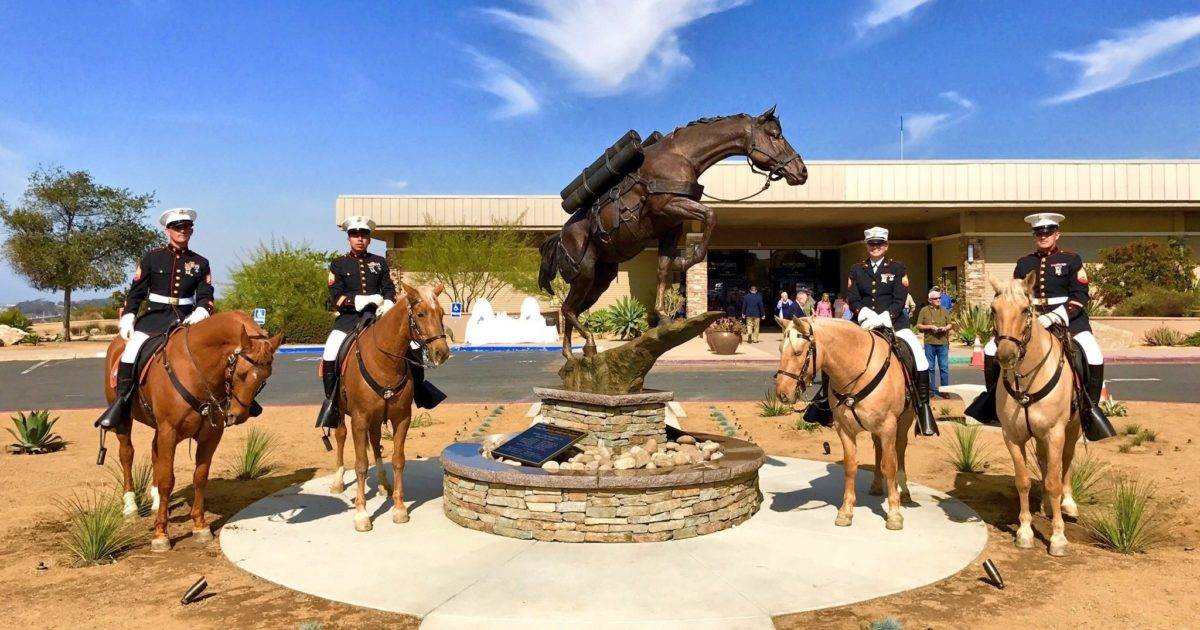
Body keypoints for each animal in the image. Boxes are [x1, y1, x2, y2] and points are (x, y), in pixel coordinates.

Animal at [104, 309, 284, 549]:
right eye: (241, 373)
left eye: (265, 377)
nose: (237, 415)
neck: (195, 368)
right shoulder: (169, 431)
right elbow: (167, 480)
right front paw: (161, 533)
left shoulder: (210, 434)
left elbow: (200, 476)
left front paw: (199, 525)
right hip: (125, 422)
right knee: (127, 454)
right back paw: (130, 505)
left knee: (154, 453)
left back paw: (156, 500)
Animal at [328, 280, 451, 530]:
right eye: (421, 314)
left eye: (442, 313)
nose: (441, 352)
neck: (384, 361)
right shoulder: (359, 419)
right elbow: (361, 464)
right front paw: (362, 514)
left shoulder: (401, 418)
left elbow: (398, 460)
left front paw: (399, 508)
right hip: (341, 412)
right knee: (341, 436)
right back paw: (338, 480)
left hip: (376, 418)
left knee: (375, 442)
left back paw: (383, 484)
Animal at [542, 105, 806, 355]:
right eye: (775, 135)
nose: (802, 171)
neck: (680, 156)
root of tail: (560, 238)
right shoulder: (670, 207)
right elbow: (711, 216)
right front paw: (684, 261)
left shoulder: (672, 226)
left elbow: (663, 269)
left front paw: (663, 313)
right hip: (585, 273)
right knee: (567, 309)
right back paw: (588, 343)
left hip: (600, 279)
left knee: (572, 309)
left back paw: (572, 354)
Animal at [772, 316, 912, 528]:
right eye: (780, 349)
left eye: (798, 352)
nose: (783, 393)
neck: (858, 372)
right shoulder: (844, 429)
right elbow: (850, 466)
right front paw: (846, 511)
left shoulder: (888, 427)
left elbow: (889, 466)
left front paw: (894, 514)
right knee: (879, 448)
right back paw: (877, 485)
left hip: (904, 421)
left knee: (900, 449)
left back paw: (903, 490)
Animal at [988, 272, 1084, 552]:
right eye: (993, 310)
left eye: (1024, 310)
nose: (1006, 355)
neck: (1028, 378)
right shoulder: (1012, 436)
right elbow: (1023, 481)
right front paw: (1025, 532)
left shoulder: (1055, 433)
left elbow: (1053, 481)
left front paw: (1058, 537)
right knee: (1044, 462)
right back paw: (1045, 506)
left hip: (1072, 429)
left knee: (1065, 462)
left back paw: (1067, 504)